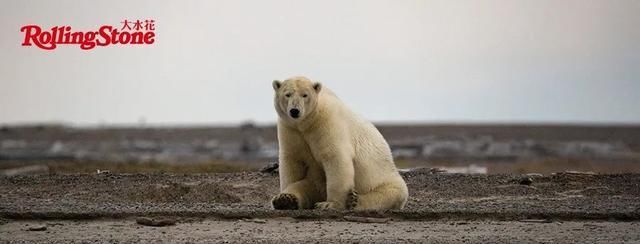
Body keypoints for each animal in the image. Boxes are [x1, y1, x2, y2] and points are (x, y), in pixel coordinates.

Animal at [272, 76, 410, 210]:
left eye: (305, 95)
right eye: (287, 94)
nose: (294, 111)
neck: (307, 123)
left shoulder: (327, 123)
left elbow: (335, 158)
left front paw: (330, 204)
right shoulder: (290, 130)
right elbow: (292, 163)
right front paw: (285, 197)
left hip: (387, 181)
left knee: (384, 195)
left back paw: (353, 200)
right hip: (317, 182)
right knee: (305, 186)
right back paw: (285, 199)